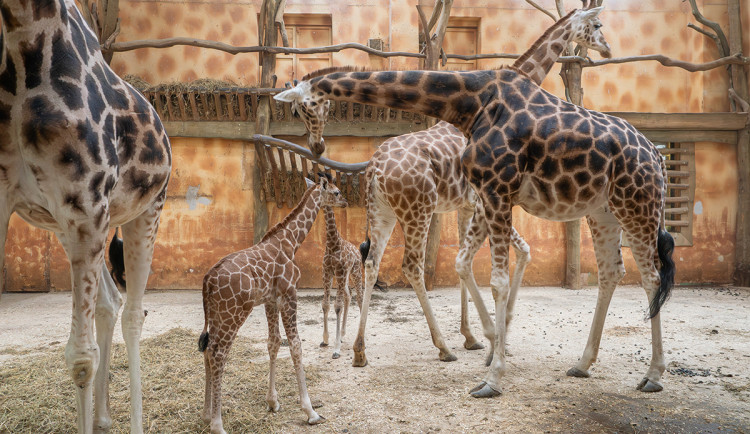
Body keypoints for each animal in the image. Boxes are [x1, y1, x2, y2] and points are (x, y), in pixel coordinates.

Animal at [0, 0, 171, 430]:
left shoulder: (86, 203)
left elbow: (80, 357)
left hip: (146, 210)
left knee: (133, 314)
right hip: (72, 226)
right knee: (110, 303)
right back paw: (103, 419)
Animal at [195, 175, 346, 432]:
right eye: (335, 192)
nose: (344, 202)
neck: (292, 242)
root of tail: (208, 280)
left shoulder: (270, 301)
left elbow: (273, 343)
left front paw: (273, 402)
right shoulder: (289, 294)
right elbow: (295, 345)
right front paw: (311, 411)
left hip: (216, 314)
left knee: (207, 350)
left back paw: (206, 415)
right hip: (234, 313)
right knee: (218, 354)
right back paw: (217, 424)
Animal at [320, 203, 364, 360]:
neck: (333, 244)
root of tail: (357, 250)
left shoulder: (339, 272)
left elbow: (337, 306)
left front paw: (336, 349)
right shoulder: (327, 273)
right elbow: (326, 304)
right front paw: (326, 339)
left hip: (355, 272)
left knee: (360, 299)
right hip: (344, 279)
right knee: (348, 295)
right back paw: (343, 334)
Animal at [340, 1, 612, 368]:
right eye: (597, 25)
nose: (607, 49)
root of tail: (375, 169)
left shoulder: (467, 205)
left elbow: (470, 263)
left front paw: (473, 336)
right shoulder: (484, 201)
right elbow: (516, 253)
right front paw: (496, 334)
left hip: (382, 211)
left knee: (371, 263)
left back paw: (360, 351)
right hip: (417, 209)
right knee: (411, 266)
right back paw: (442, 347)